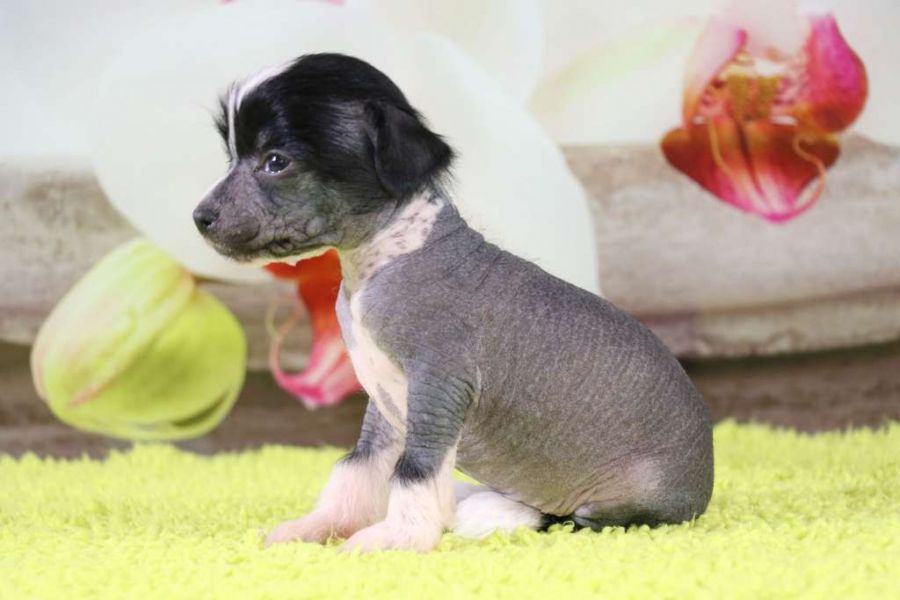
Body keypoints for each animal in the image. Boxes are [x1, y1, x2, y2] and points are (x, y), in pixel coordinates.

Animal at [193, 53, 714, 552]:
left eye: (275, 161)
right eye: (232, 156)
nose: (200, 217)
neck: (386, 261)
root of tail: (702, 492)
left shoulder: (438, 389)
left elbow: (414, 470)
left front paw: (399, 537)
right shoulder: (386, 403)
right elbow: (359, 464)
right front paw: (325, 525)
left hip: (623, 503)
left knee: (573, 520)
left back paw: (492, 512)